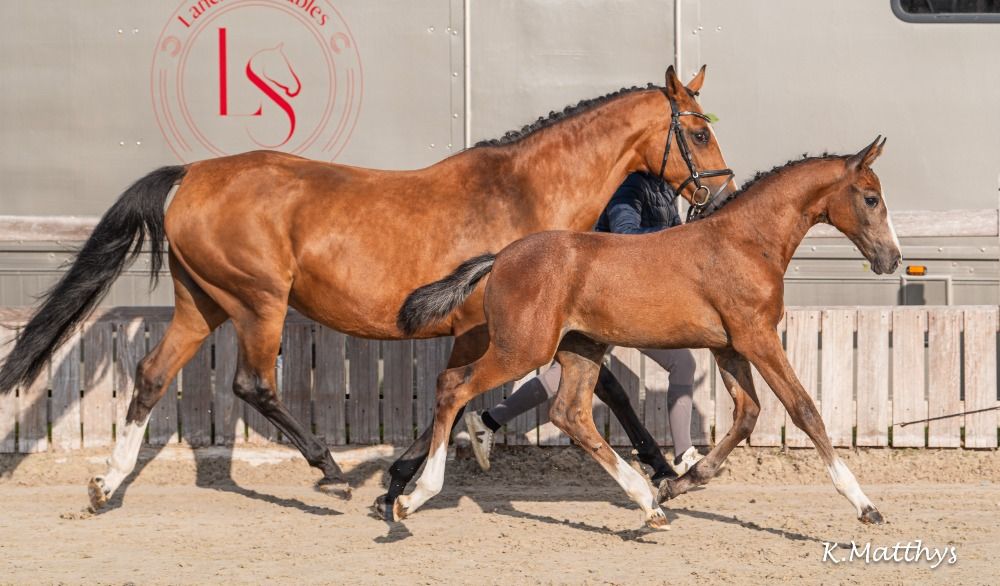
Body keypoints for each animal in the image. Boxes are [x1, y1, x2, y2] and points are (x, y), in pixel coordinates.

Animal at [0, 66, 734, 515]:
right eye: (697, 130)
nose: (721, 194)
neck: (521, 193)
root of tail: (194, 173)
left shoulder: (491, 330)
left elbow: (454, 403)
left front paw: (400, 482)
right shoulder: (507, 328)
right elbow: (583, 391)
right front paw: (663, 473)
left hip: (201, 302)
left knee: (152, 375)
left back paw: (105, 484)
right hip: (257, 301)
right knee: (251, 383)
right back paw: (327, 468)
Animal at [393, 137, 900, 528]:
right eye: (871, 199)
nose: (891, 259)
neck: (746, 243)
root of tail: (499, 258)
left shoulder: (729, 348)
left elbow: (747, 415)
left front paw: (678, 484)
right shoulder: (757, 338)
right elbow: (804, 409)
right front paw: (864, 504)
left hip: (581, 348)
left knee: (570, 413)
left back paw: (649, 503)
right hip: (522, 348)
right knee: (452, 385)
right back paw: (411, 497)